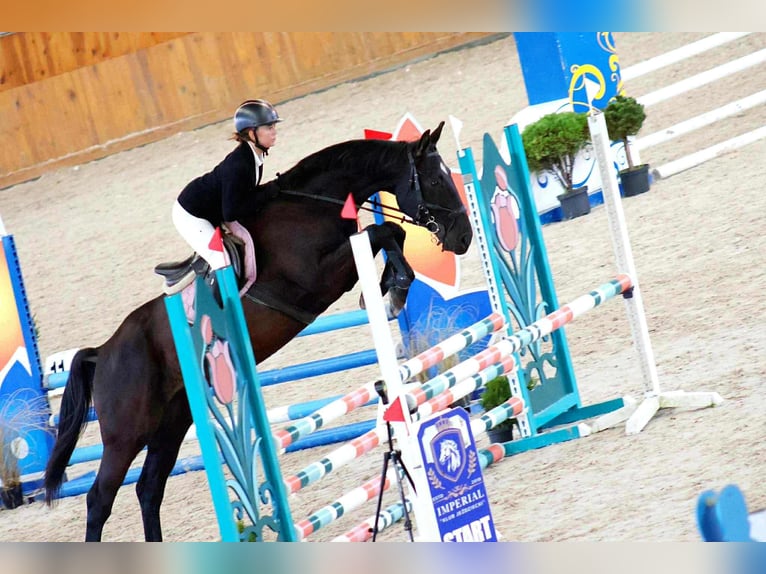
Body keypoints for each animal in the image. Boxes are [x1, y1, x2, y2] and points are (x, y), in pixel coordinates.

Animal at [43, 121, 473, 541]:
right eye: (435, 179)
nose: (465, 238)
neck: (312, 205)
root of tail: (104, 351)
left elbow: (391, 235)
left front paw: (389, 287)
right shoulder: (317, 279)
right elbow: (380, 234)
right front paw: (391, 290)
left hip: (173, 422)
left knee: (149, 488)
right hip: (127, 434)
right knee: (100, 499)